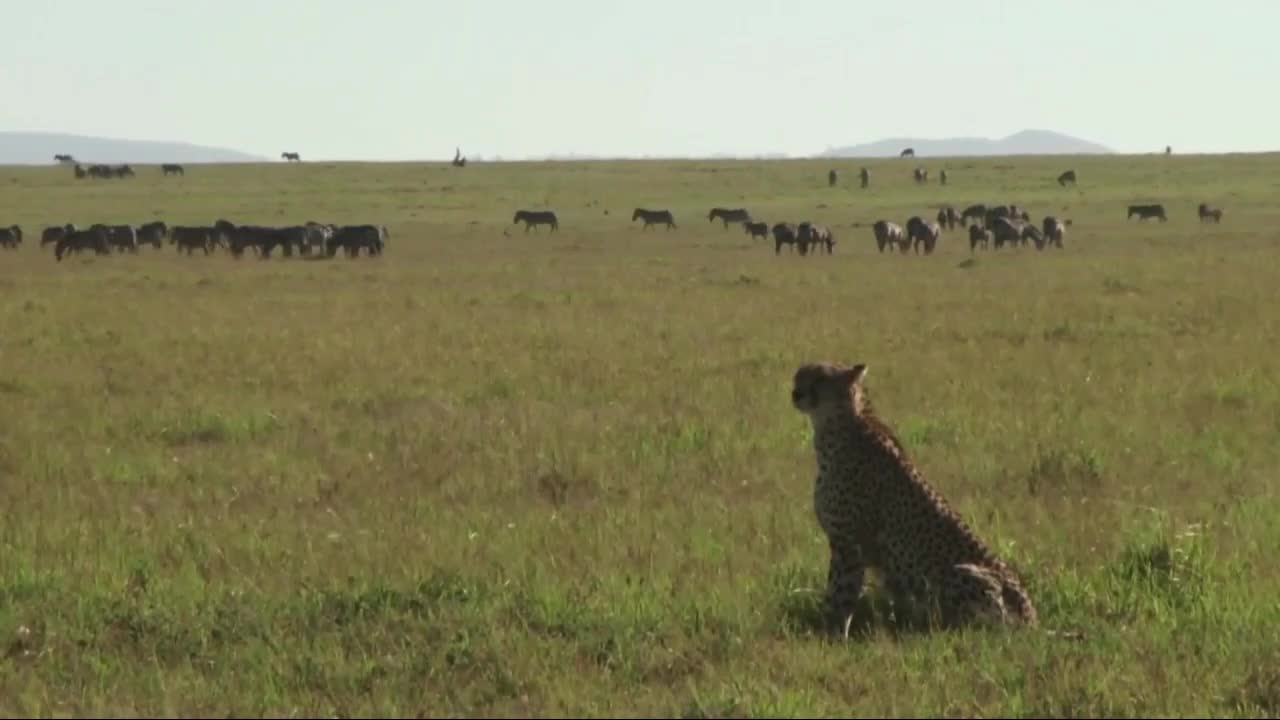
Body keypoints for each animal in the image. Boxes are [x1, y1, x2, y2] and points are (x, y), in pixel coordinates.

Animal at [788, 361, 1039, 635]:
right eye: (798, 376)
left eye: (820, 379)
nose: (796, 393)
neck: (836, 427)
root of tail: (1032, 620)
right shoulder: (845, 543)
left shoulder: (849, 544)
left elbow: (840, 594)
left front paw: (830, 634)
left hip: (959, 572)